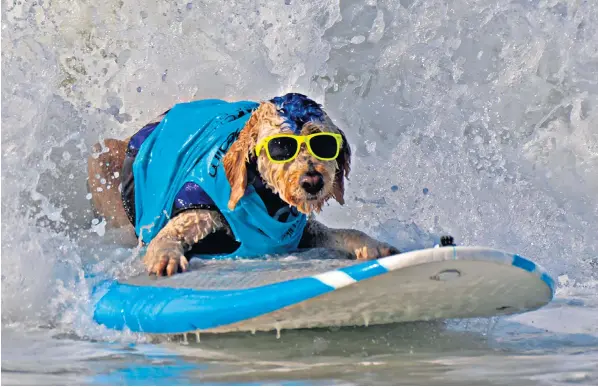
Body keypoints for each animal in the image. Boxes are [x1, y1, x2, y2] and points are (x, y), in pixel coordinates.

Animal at [88, 93, 398, 276]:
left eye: (323, 143)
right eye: (281, 146)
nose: (313, 181)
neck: (267, 200)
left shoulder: (302, 232)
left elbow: (345, 232)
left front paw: (372, 245)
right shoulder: (196, 212)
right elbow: (166, 236)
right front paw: (165, 255)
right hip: (101, 160)